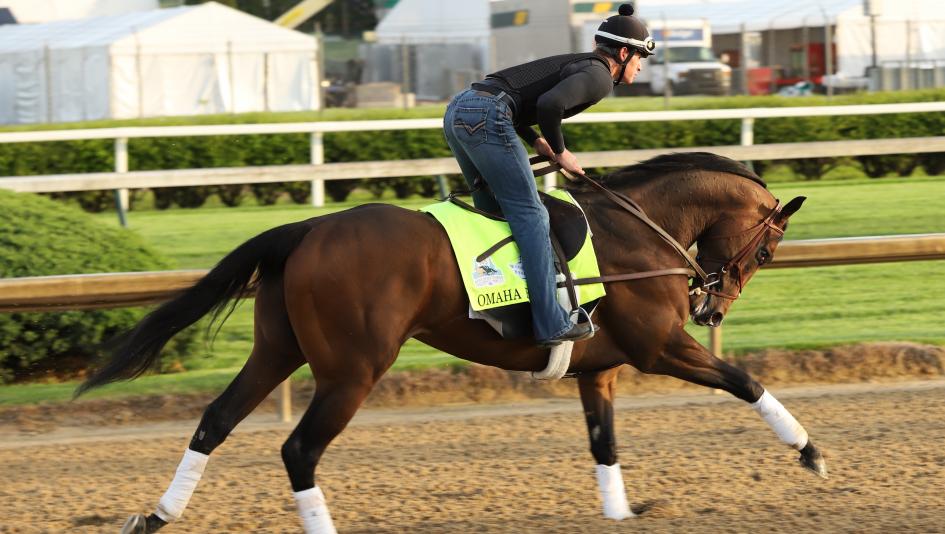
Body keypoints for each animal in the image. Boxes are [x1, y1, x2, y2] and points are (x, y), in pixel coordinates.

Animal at [85, 153, 828, 532]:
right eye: (768, 249)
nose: (711, 304)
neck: (637, 230)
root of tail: (307, 229)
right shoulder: (658, 346)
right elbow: (745, 381)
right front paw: (810, 452)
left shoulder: (601, 370)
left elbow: (604, 443)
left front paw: (620, 511)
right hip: (352, 370)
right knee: (298, 449)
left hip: (276, 350)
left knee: (213, 421)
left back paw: (156, 515)